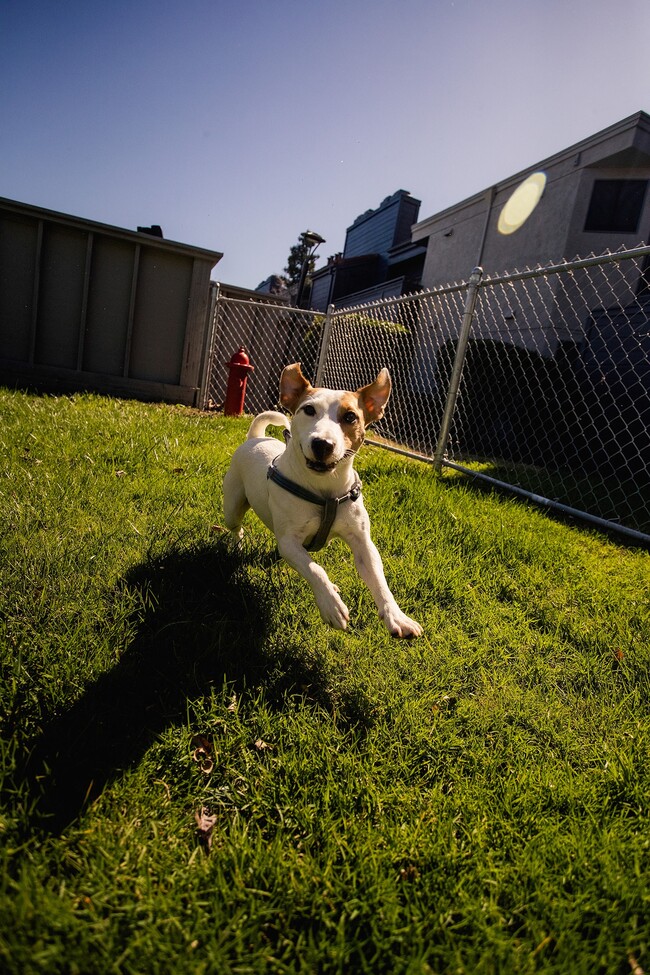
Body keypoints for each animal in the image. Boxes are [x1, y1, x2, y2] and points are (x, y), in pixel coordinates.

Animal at [220, 362, 422, 636]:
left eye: (350, 417)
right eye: (308, 409)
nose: (322, 444)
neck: (325, 491)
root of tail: (255, 438)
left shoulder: (362, 543)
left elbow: (379, 580)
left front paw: (397, 617)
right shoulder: (289, 542)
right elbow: (315, 569)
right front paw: (331, 605)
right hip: (232, 506)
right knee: (236, 527)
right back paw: (237, 544)